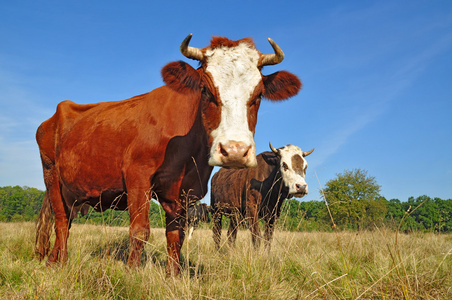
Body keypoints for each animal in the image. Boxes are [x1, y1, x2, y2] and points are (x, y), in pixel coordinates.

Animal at [35, 34, 302, 276]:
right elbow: (139, 230)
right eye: (205, 90)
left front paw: (172, 276)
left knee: (64, 220)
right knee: (61, 222)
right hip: (51, 174)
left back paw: (51, 260)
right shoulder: (138, 177)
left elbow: (176, 235)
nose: (235, 151)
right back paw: (60, 264)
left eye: (258, 95)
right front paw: (131, 274)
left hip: (72, 190)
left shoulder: (185, 190)